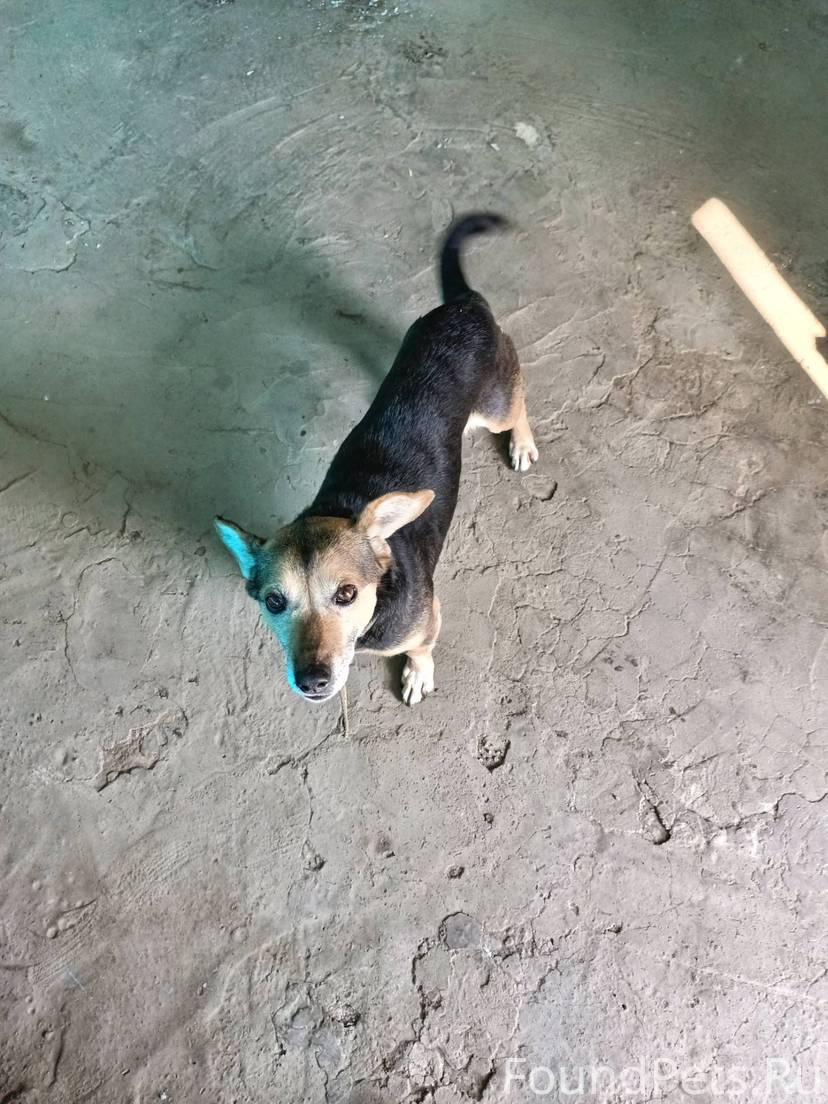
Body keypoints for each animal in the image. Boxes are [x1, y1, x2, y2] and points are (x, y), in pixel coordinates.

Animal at [215, 213, 538, 705]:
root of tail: (465, 304)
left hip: (496, 405)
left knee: (519, 404)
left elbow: (421, 649)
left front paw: (418, 674)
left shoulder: (428, 620)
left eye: (346, 594)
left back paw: (522, 443)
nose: (312, 681)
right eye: (274, 601)